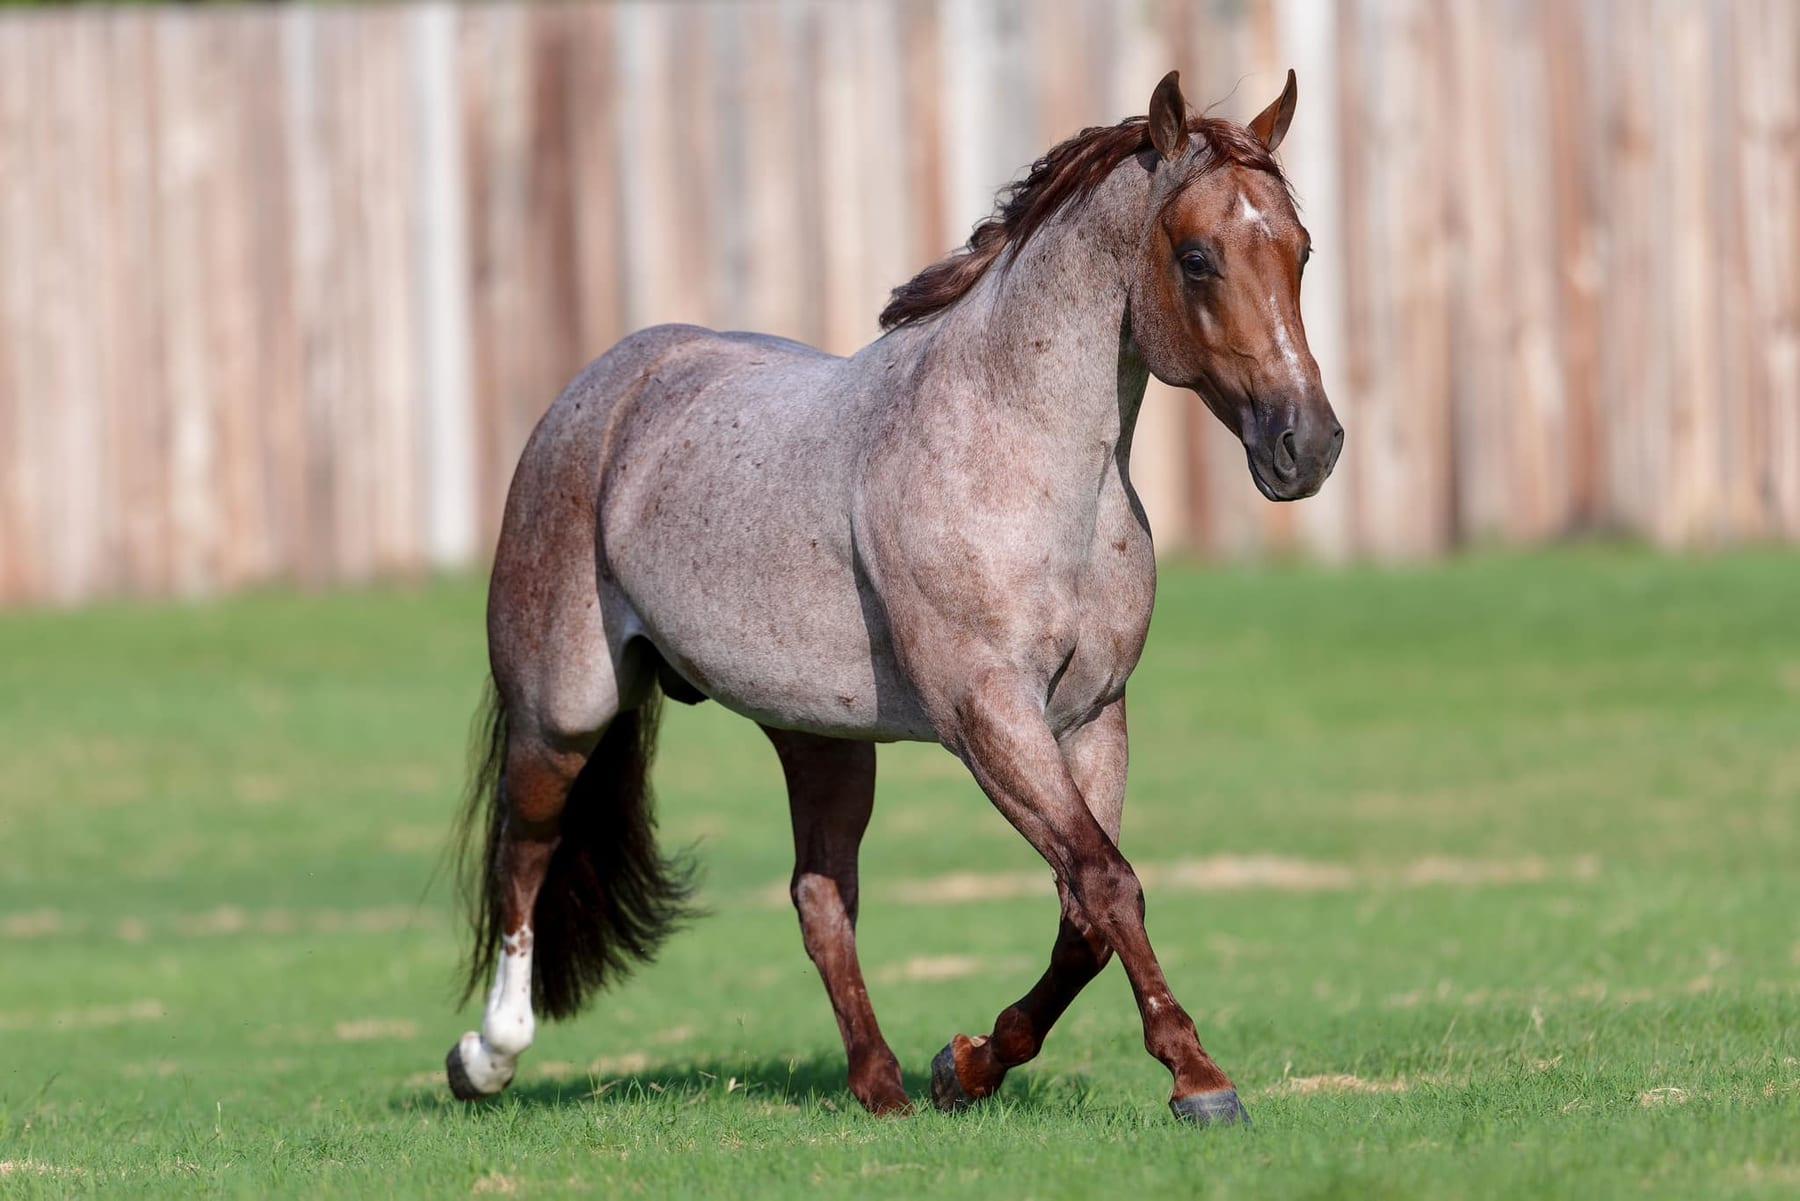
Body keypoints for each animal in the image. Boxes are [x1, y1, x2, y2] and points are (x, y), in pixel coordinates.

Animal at [445, 68, 1341, 1128]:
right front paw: (1199, 1080)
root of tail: (603, 387)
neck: (1017, 456)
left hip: (819, 737)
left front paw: (969, 1063)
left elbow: (1084, 909)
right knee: (524, 852)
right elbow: (1108, 883)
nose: (1307, 445)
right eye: (1197, 257)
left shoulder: (1092, 717)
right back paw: (485, 1056)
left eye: (1300, 249)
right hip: (564, 710)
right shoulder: (988, 713)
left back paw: (883, 1089)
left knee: (820, 896)